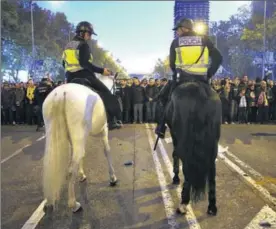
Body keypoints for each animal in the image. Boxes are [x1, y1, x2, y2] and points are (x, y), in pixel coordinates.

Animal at [42, 82, 117, 213]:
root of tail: (61, 93)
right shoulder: (104, 129)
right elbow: (107, 151)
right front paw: (112, 177)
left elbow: (83, 155)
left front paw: (81, 175)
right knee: (71, 170)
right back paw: (73, 204)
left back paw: (50, 200)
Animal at [165, 79, 221, 216]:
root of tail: (201, 91)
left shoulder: (175, 136)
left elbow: (175, 154)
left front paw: (175, 178)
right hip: (213, 144)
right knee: (211, 169)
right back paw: (212, 206)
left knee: (187, 167)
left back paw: (183, 203)